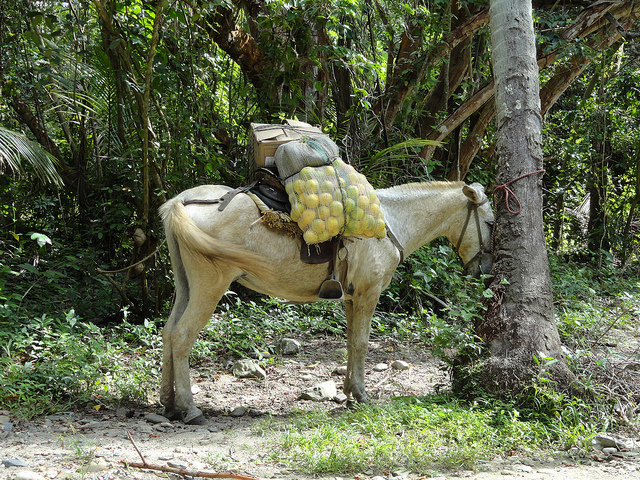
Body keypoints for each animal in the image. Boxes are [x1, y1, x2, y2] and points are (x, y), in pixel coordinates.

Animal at [159, 180, 496, 424]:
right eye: (491, 223)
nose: (486, 271)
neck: (389, 224)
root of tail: (182, 201)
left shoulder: (351, 297)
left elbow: (350, 342)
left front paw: (348, 392)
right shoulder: (369, 292)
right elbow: (362, 343)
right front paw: (361, 396)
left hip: (186, 285)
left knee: (168, 332)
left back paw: (169, 403)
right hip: (210, 285)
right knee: (183, 336)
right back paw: (190, 409)